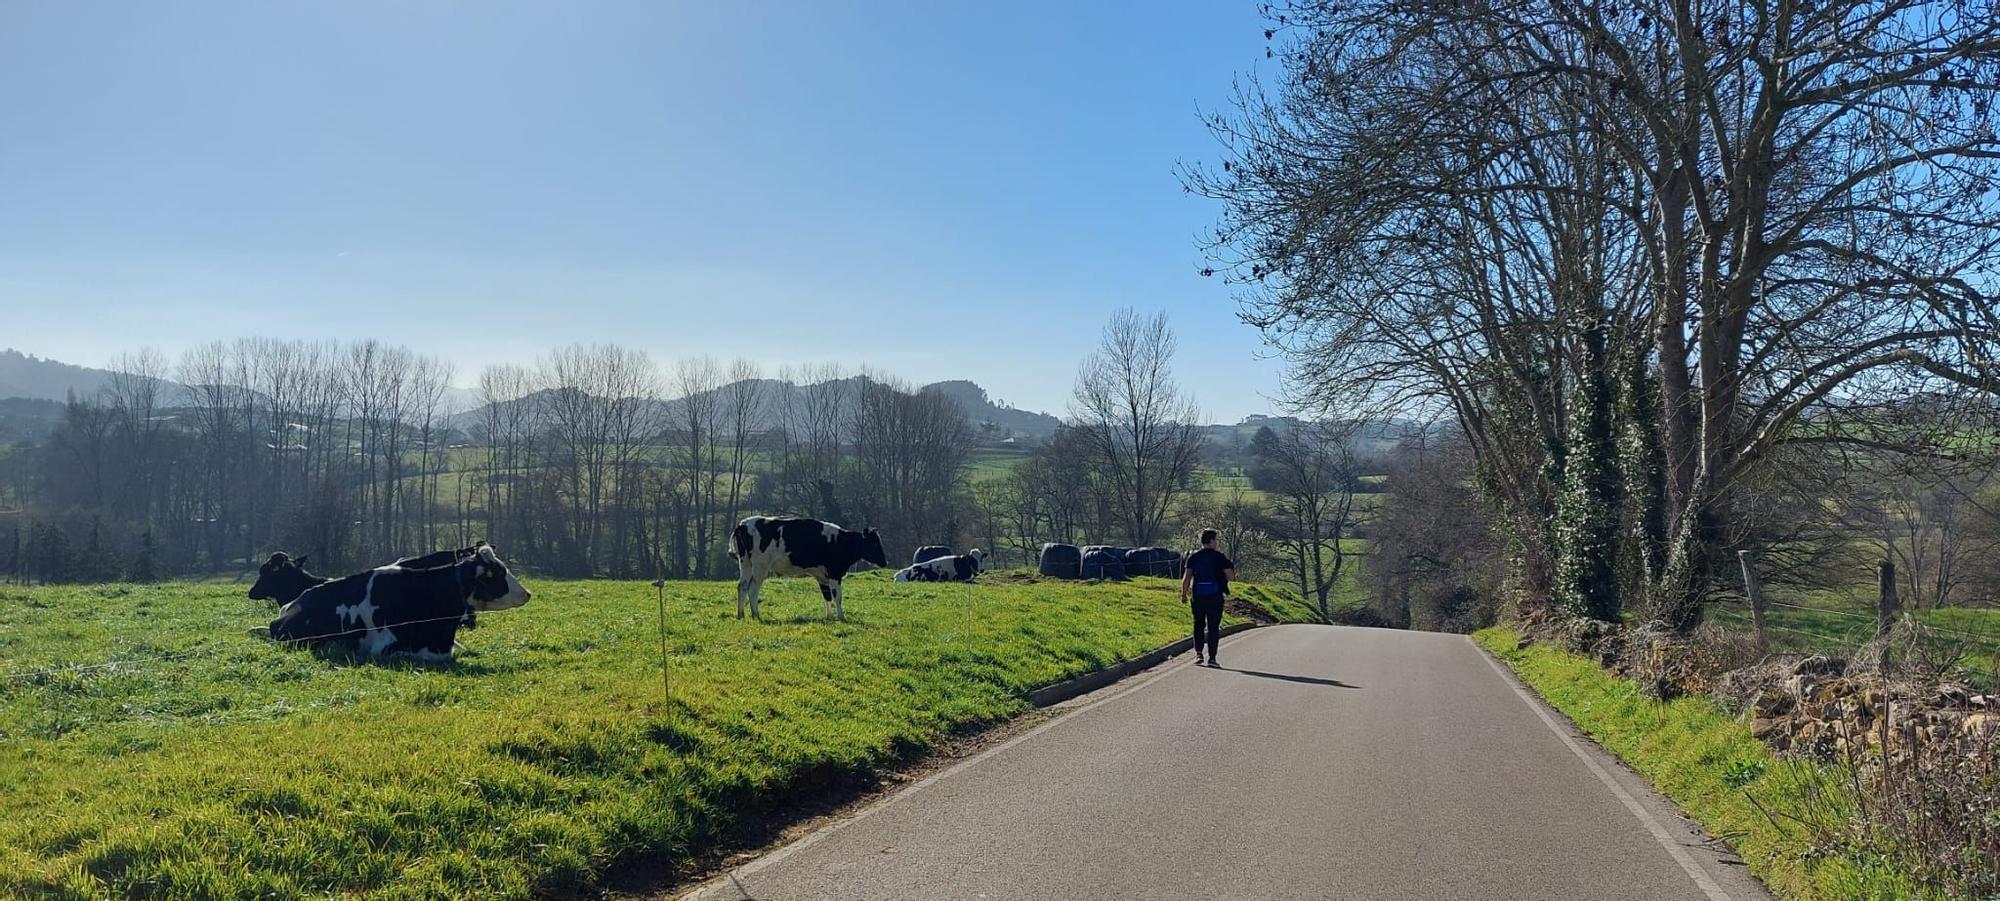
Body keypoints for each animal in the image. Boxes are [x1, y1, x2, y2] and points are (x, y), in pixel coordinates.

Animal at [732, 512, 888, 620]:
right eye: (875, 543)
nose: (885, 562)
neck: (840, 541)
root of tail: (743, 524)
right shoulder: (834, 574)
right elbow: (837, 596)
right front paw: (841, 617)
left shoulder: (822, 576)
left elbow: (827, 596)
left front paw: (829, 617)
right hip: (761, 566)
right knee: (753, 588)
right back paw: (756, 614)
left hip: (745, 562)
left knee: (742, 586)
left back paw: (741, 614)